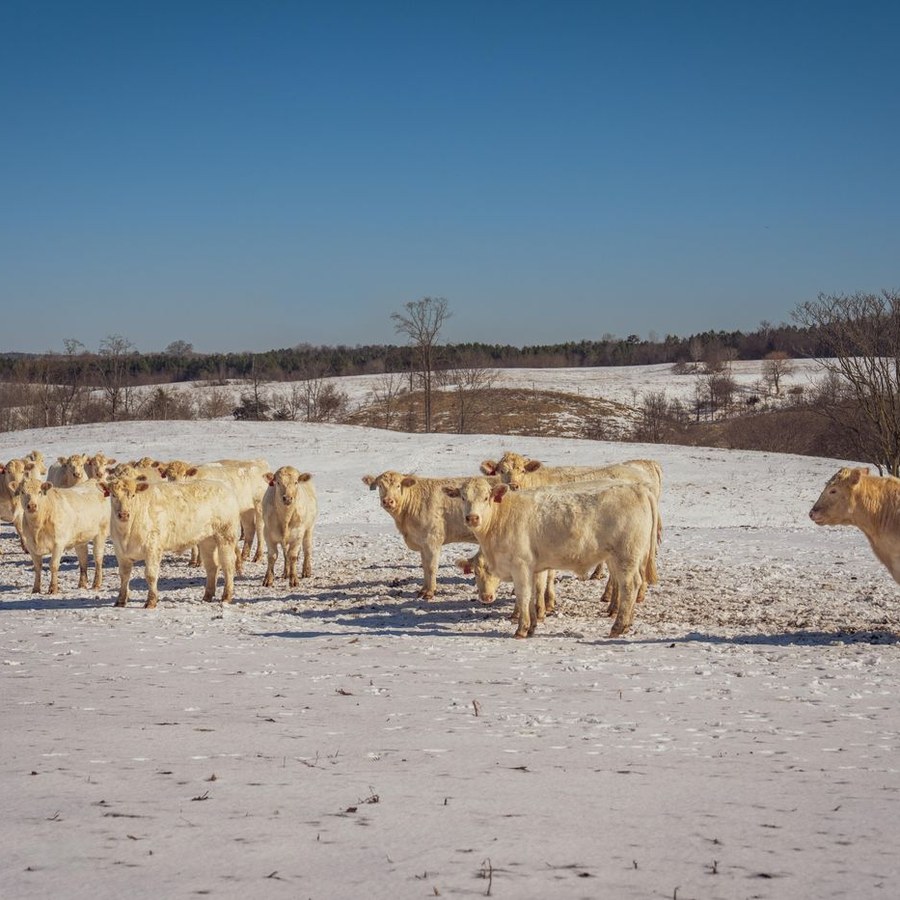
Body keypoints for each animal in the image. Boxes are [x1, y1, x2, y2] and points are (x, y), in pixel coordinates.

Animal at [101, 477, 241, 608]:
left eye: (133, 495)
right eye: (113, 495)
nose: (124, 514)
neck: (126, 533)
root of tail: (225, 487)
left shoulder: (153, 547)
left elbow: (150, 574)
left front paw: (151, 601)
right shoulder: (120, 552)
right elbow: (124, 575)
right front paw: (120, 601)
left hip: (226, 535)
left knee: (228, 565)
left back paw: (226, 596)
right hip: (207, 540)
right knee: (212, 566)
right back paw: (207, 596)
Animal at [443, 478, 658, 639]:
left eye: (486, 497)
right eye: (463, 497)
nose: (472, 518)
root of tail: (638, 488)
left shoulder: (520, 565)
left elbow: (523, 595)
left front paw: (521, 629)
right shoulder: (533, 568)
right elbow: (533, 595)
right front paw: (532, 626)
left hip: (626, 556)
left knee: (629, 586)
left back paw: (618, 626)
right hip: (619, 557)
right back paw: (627, 623)